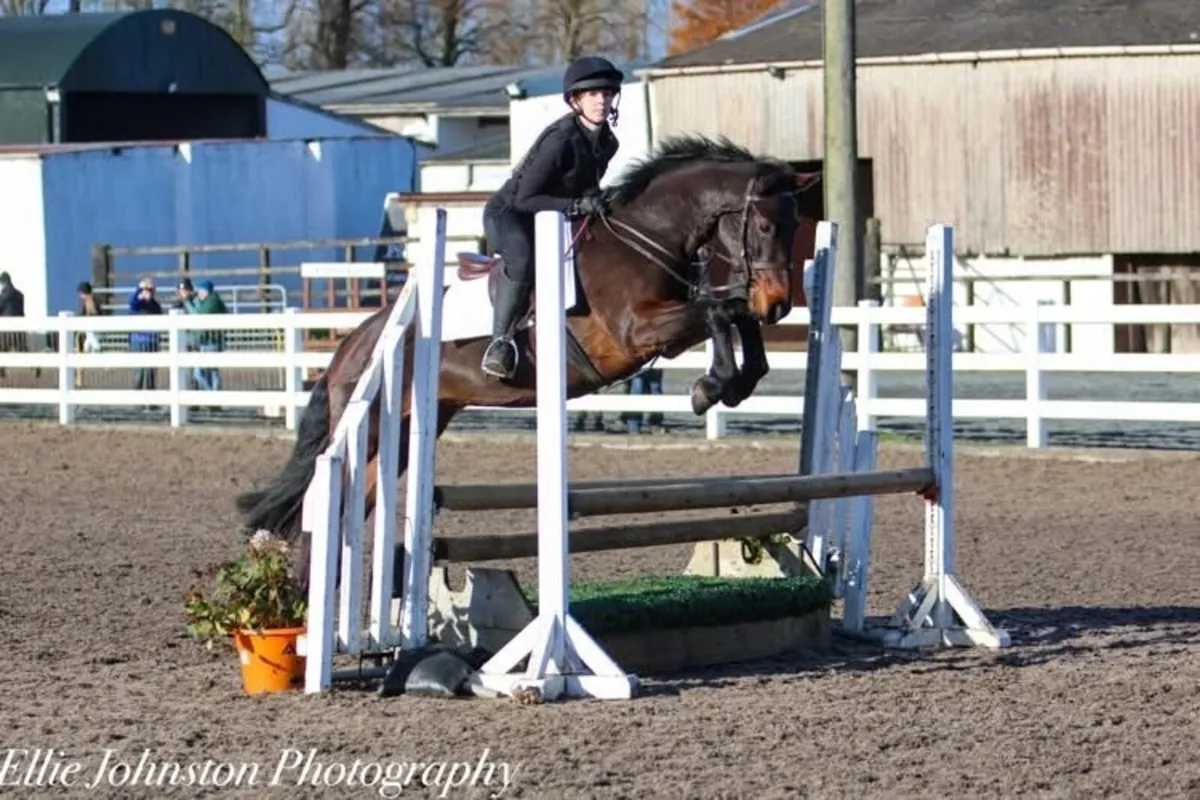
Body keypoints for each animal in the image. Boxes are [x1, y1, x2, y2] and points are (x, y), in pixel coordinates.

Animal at [237, 135, 815, 575]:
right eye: (766, 226)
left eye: (796, 227)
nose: (779, 304)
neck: (645, 236)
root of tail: (349, 348)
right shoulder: (635, 332)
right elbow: (716, 312)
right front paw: (709, 387)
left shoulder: (666, 333)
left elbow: (731, 313)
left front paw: (738, 379)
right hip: (371, 424)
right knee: (322, 499)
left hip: (405, 434)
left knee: (347, 506)